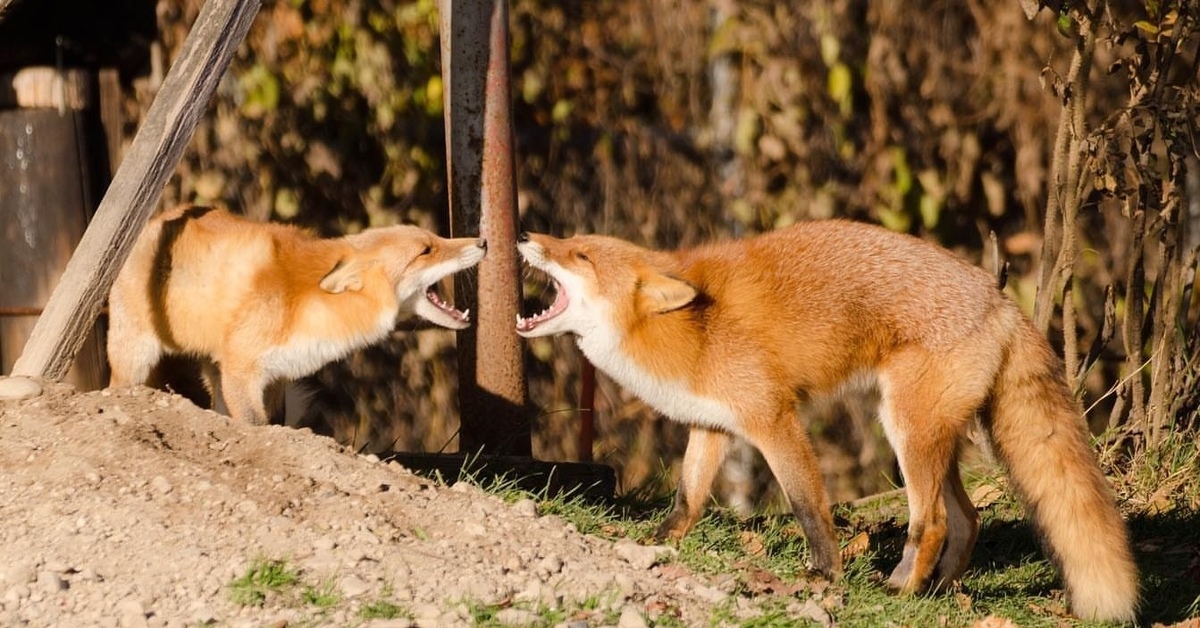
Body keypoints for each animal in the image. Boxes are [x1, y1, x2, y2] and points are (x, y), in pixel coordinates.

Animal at [513, 220, 1132, 624]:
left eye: (580, 256)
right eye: (568, 243)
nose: (523, 235)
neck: (690, 329)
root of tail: (999, 298)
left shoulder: (773, 418)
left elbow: (809, 505)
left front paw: (825, 575)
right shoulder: (714, 425)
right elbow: (687, 499)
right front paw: (657, 543)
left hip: (905, 429)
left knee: (930, 522)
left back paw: (903, 594)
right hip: (930, 436)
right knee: (968, 518)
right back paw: (937, 594)